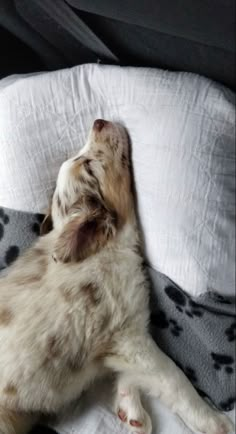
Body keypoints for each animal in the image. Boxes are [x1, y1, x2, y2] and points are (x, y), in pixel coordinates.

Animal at [0, 119, 233, 434]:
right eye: (88, 166)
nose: (98, 121)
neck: (106, 246)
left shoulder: (118, 344)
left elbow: (126, 373)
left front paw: (131, 409)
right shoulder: (128, 335)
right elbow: (174, 379)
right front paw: (215, 421)